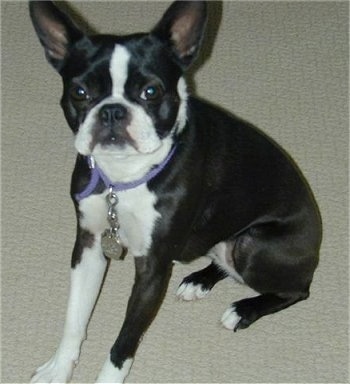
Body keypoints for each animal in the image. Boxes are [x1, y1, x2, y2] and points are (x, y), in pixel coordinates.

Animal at [30, 1, 322, 382]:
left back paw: (243, 309)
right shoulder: (89, 244)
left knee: (296, 289)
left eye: (151, 92)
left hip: (253, 246)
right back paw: (199, 281)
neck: (124, 179)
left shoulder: (153, 268)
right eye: (80, 93)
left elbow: (124, 342)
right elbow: (75, 318)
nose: (112, 111)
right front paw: (59, 367)